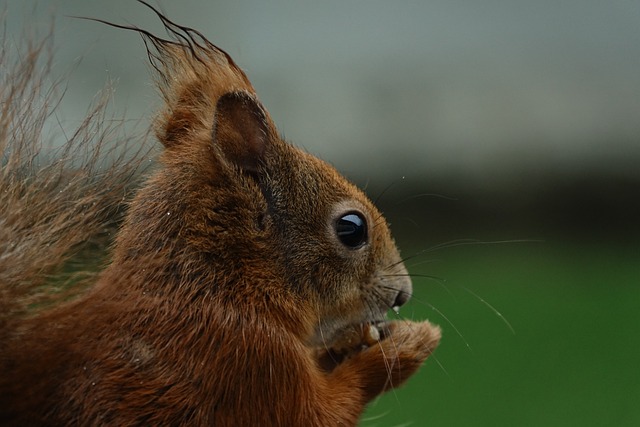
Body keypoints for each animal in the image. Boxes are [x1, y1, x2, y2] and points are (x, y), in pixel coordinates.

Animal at [0, 1, 440, 426]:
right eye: (352, 228)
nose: (402, 293)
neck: (219, 285)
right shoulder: (252, 361)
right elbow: (322, 413)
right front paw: (407, 347)